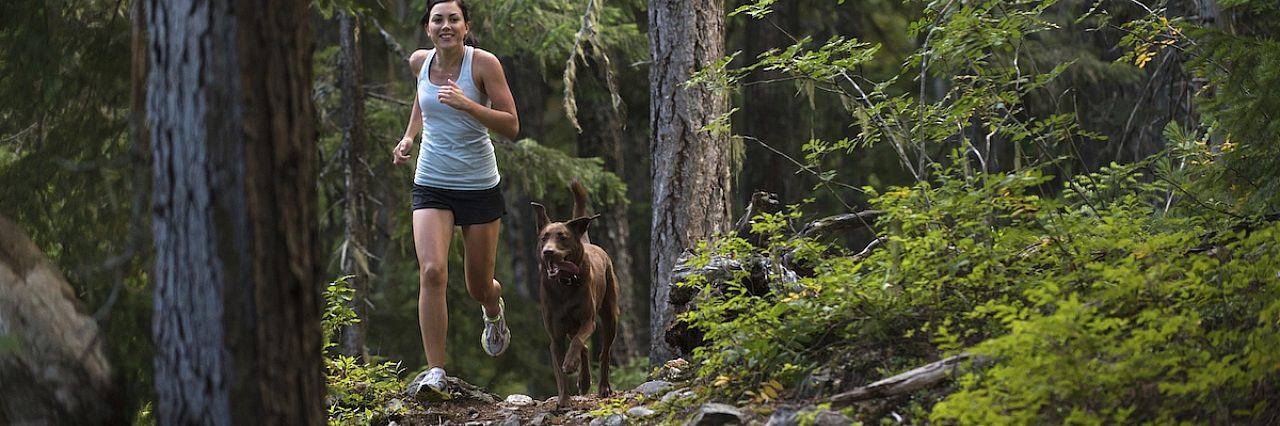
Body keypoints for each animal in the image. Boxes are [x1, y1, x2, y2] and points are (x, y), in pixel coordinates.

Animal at [529, 179, 619, 404]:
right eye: (544, 238)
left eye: (562, 237)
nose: (548, 252)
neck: (564, 285)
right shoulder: (555, 336)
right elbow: (559, 373)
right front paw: (564, 401)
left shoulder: (588, 320)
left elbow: (579, 341)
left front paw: (570, 364)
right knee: (585, 348)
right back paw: (584, 381)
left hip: (610, 315)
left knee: (604, 352)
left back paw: (603, 387)